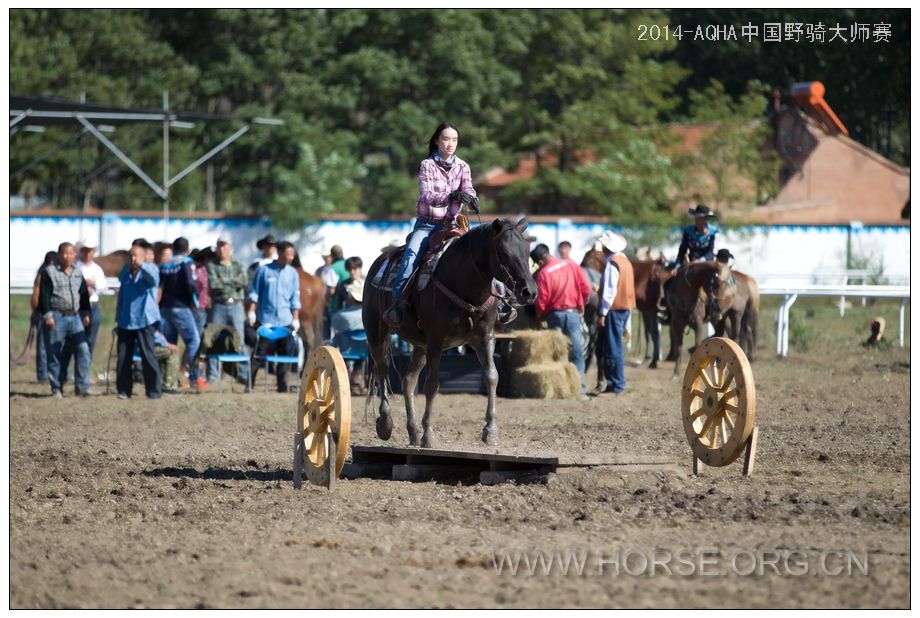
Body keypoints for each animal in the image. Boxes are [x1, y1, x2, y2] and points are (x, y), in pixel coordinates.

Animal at [364, 219, 540, 446]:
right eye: (503, 251)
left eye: (527, 250)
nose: (530, 292)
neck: (462, 284)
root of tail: (380, 261)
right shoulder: (436, 341)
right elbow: (432, 385)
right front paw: (429, 435)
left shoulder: (485, 337)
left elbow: (492, 376)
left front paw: (491, 431)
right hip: (376, 332)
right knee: (382, 370)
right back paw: (385, 423)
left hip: (420, 345)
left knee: (408, 381)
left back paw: (413, 431)